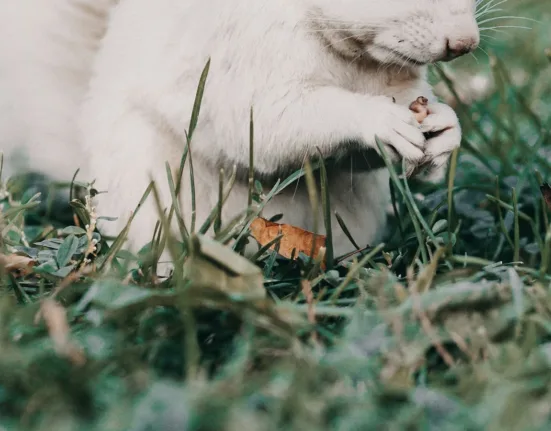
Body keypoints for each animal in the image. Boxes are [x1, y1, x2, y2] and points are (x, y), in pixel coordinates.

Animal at [0, 0, 478, 262]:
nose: (465, 44)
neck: (354, 58)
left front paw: (446, 129)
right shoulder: (245, 54)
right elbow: (270, 122)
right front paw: (378, 121)